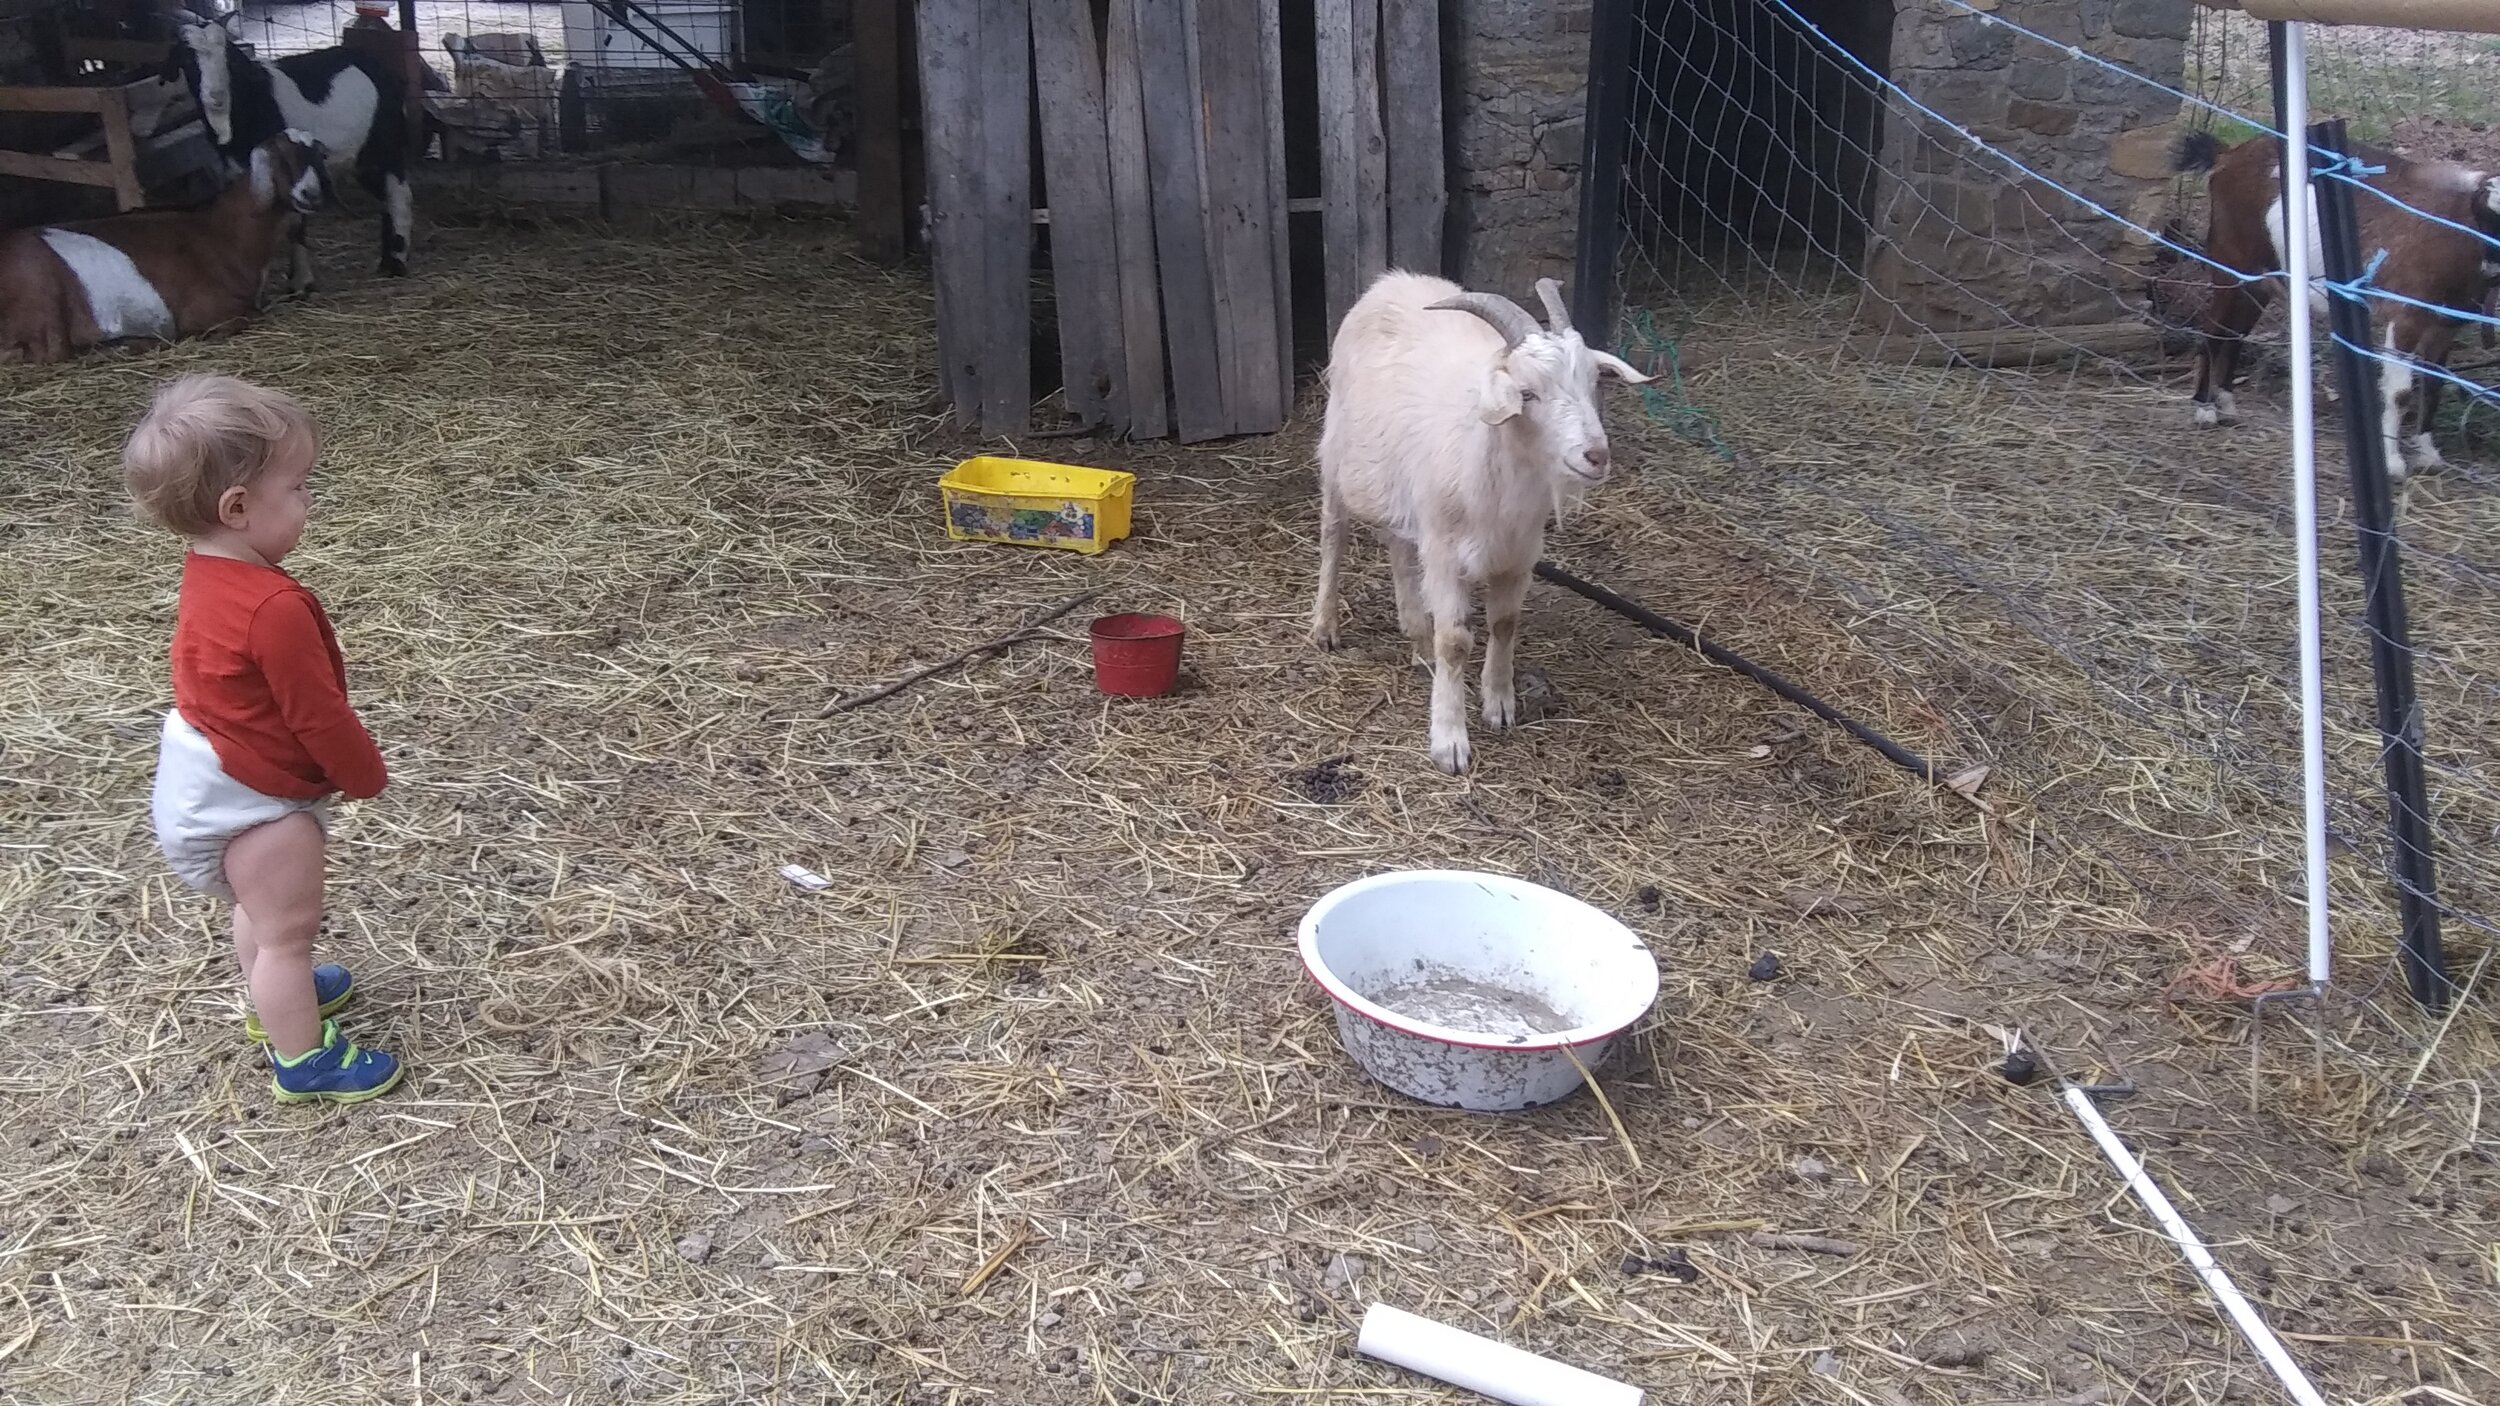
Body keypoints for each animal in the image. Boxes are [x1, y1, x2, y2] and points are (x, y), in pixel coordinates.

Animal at [1, 130, 327, 367]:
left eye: (316, 157)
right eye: (283, 159)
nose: (310, 194)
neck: (221, 231)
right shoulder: (208, 311)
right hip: (42, 297)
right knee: (50, 352)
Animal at [166, 15, 412, 278]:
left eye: (228, 60)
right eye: (188, 61)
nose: (216, 96)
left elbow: (294, 223)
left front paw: (301, 279)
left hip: (385, 145)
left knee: (399, 197)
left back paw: (397, 261)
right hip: (360, 158)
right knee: (385, 198)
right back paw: (386, 261)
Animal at [1320, 267, 1650, 770]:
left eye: (1594, 382)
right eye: (1527, 393)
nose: (1596, 456)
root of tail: (1392, 279)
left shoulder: (1519, 555)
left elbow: (1505, 624)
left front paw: (1500, 702)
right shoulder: (1444, 554)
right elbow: (1455, 641)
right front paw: (1450, 740)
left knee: (1399, 548)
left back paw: (1416, 638)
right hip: (1337, 452)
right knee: (1333, 533)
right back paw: (1325, 627)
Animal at [2170, 126, 2500, 497]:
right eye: (2487, 217)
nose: (2492, 267)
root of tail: (2228, 154)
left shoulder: (2445, 325)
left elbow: (2434, 385)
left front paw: (2429, 455)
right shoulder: (2407, 315)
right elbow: (2400, 392)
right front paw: (2392, 465)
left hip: (2260, 279)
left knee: (2235, 333)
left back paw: (2226, 404)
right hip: (2228, 261)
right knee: (2212, 329)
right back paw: (2204, 409)